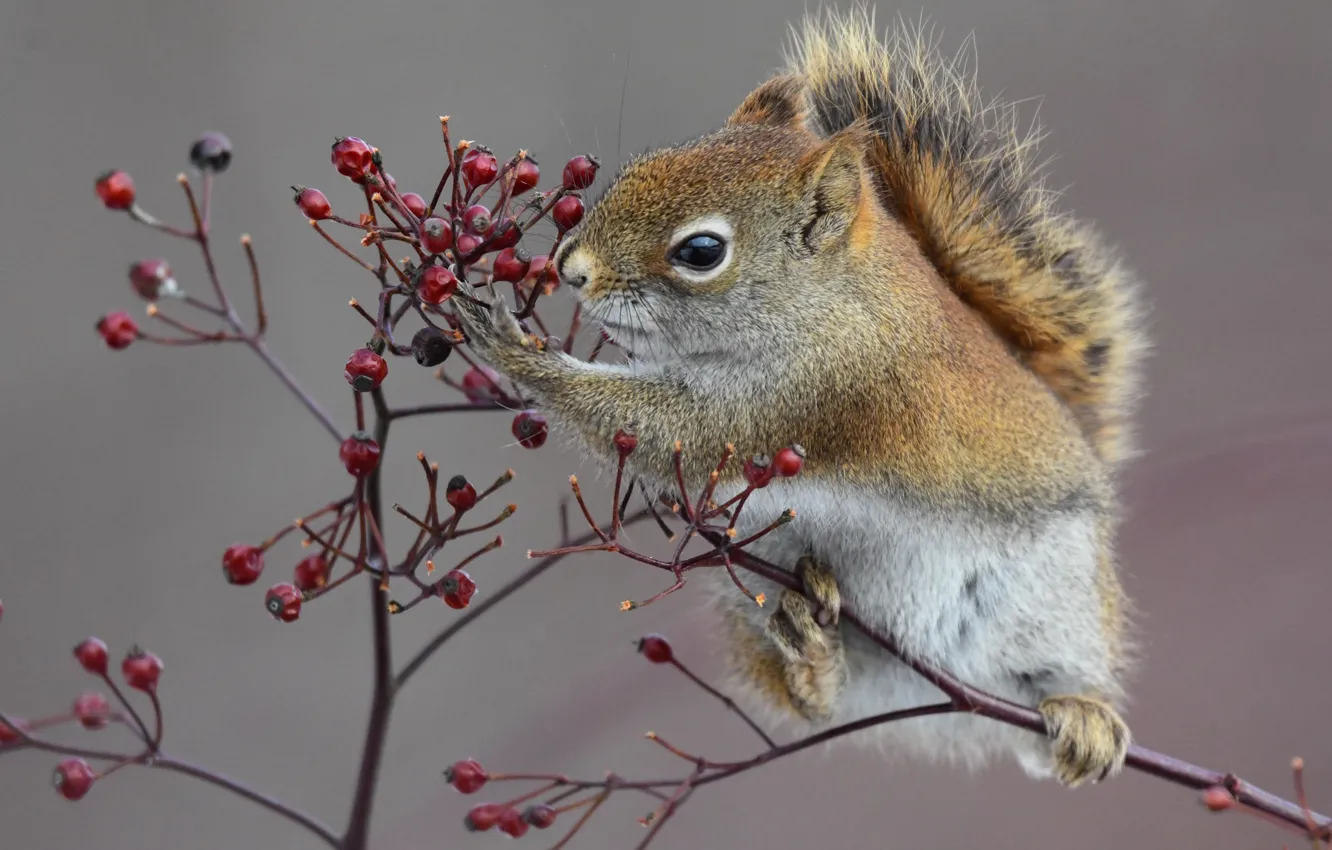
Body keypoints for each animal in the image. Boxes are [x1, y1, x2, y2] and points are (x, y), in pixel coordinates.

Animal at [455, 6, 1146, 787]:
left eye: (701, 252)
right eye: (637, 168)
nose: (571, 269)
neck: (827, 299)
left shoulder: (819, 390)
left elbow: (680, 431)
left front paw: (517, 352)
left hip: (1058, 602)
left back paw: (1081, 717)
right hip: (753, 598)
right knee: (822, 703)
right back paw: (813, 653)